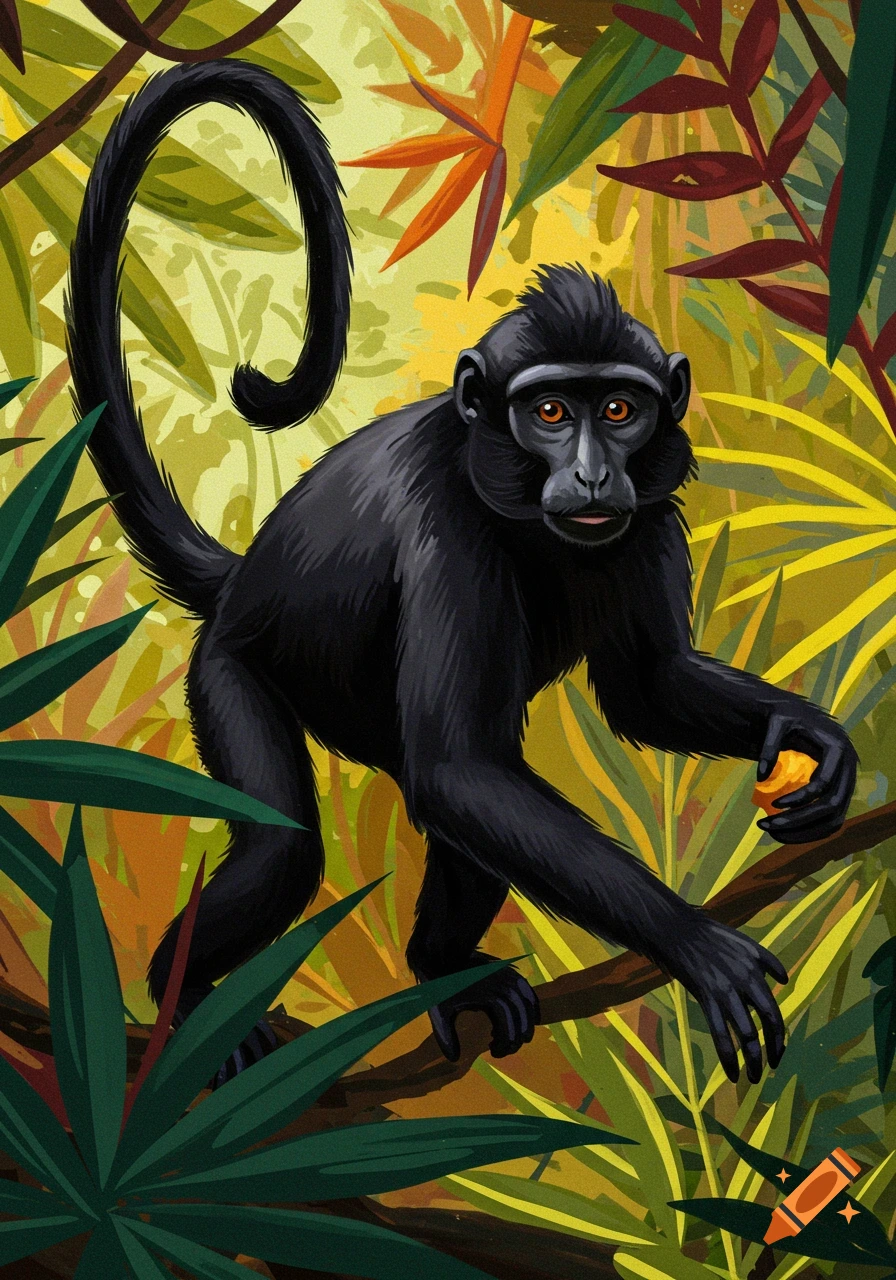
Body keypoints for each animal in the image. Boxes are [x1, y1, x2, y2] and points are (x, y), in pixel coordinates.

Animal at [65, 61, 857, 1088]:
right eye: (551, 412)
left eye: (619, 409)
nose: (592, 474)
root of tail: (244, 579)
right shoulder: (445, 530)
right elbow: (458, 769)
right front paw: (694, 942)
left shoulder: (650, 523)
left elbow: (637, 693)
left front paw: (808, 733)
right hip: (231, 669)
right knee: (290, 850)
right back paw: (184, 997)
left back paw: (442, 968)